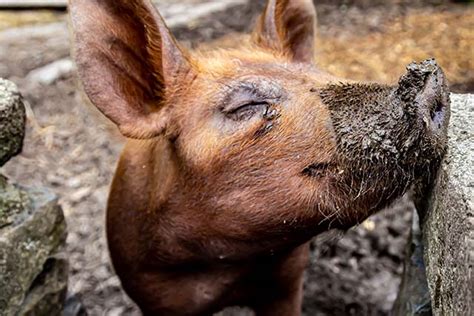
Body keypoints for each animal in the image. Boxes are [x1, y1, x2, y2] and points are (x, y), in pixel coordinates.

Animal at [68, 0, 450, 314]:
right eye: (245, 105)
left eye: (324, 77)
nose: (430, 79)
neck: (228, 268)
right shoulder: (152, 293)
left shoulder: (287, 279)